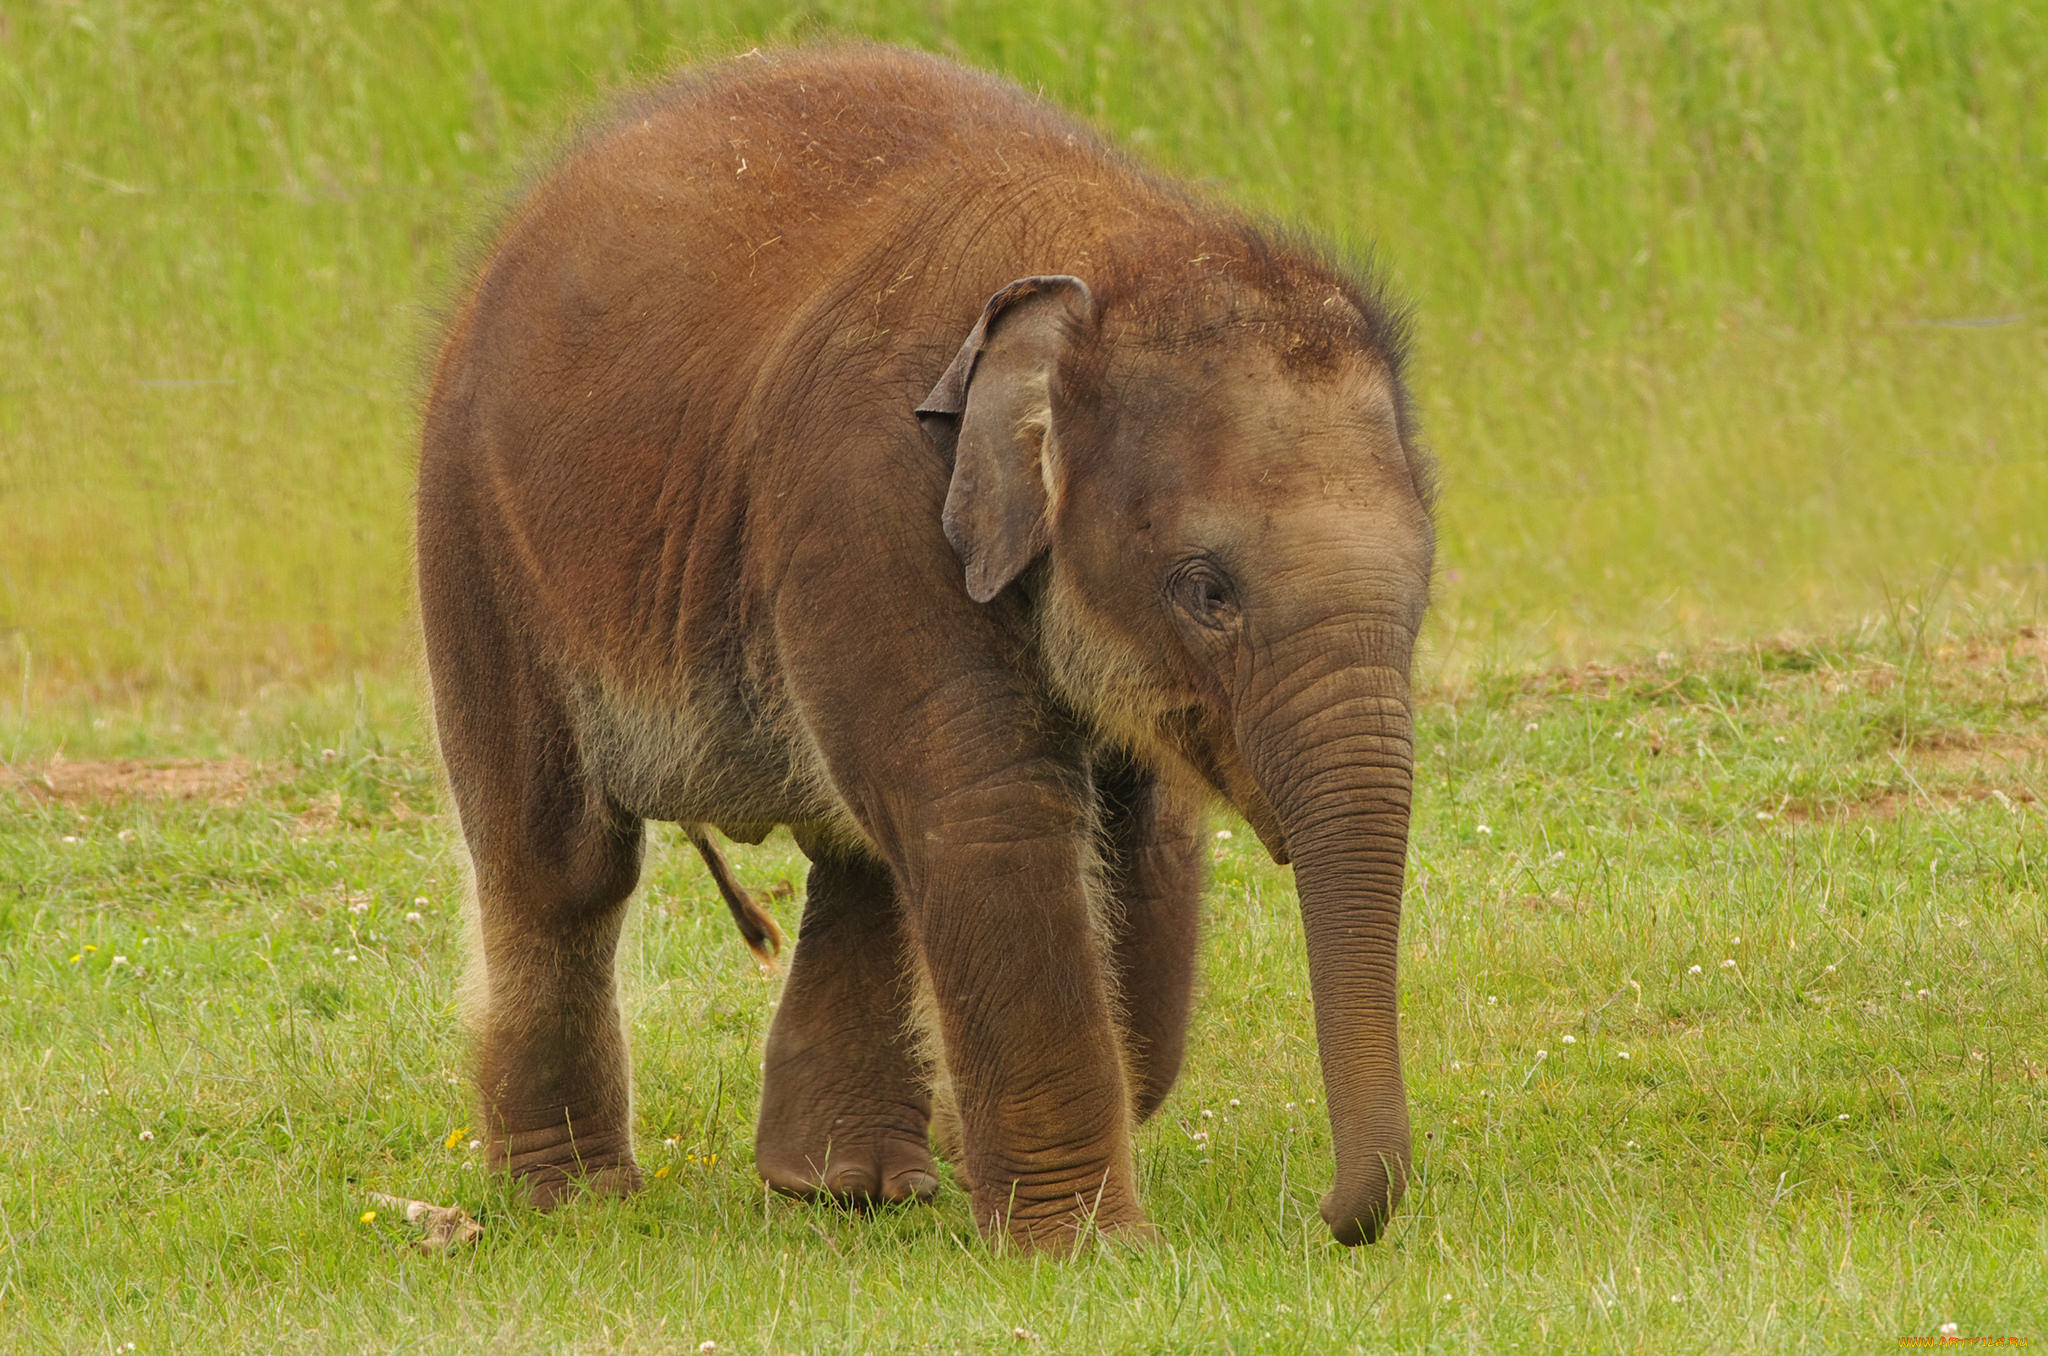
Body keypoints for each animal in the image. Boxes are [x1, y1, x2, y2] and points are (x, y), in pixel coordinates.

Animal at [419, 39, 1425, 1253]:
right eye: (1206, 591)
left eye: (1424, 580)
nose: (1330, 1218)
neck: (1113, 244)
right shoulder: (864, 492)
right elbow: (992, 808)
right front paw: (1084, 1251)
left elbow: (1141, 833)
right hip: (476, 532)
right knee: (558, 863)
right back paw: (571, 1199)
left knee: (862, 852)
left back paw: (842, 1185)